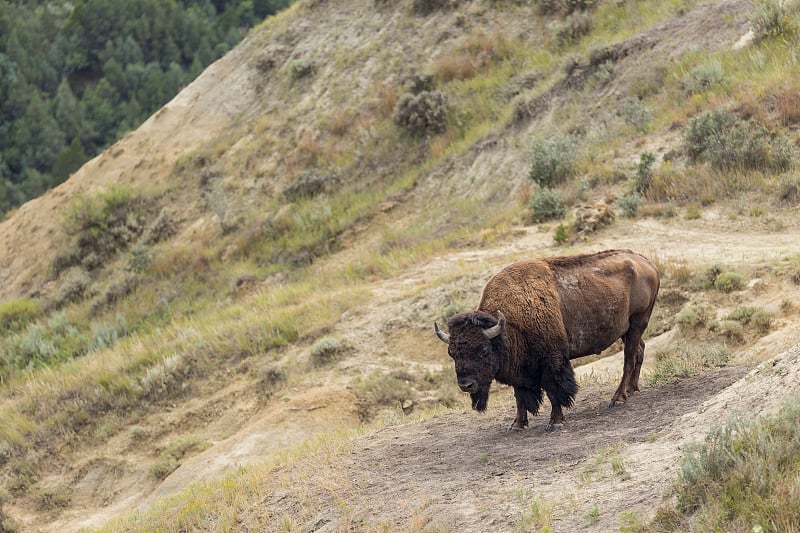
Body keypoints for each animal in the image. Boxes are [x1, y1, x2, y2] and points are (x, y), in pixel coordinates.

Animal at [434, 248, 660, 428]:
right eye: (452, 353)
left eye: (483, 349)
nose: (466, 385)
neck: (509, 325)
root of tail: (647, 263)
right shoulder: (519, 368)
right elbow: (519, 396)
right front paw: (517, 425)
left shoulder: (551, 360)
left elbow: (553, 390)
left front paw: (555, 422)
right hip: (627, 331)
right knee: (639, 351)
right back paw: (631, 390)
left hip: (637, 322)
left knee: (629, 358)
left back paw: (618, 398)